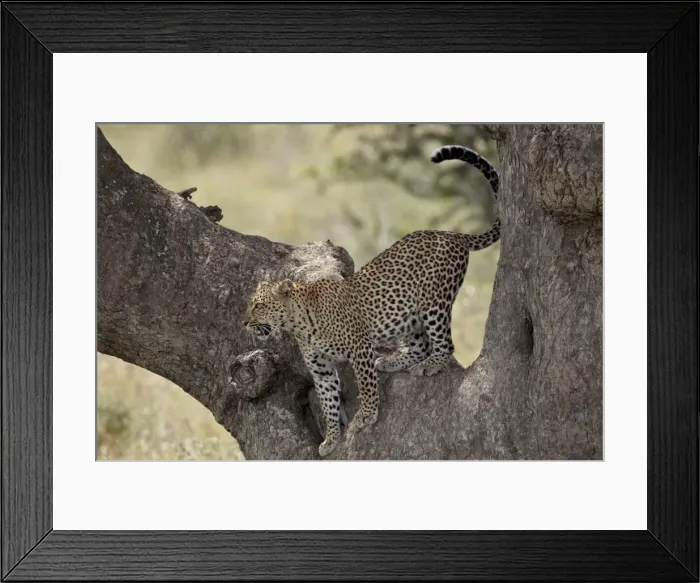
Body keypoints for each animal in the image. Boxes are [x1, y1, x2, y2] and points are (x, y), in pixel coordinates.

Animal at [243, 145, 500, 457]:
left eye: (258, 305)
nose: (244, 322)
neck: (300, 324)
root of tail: (452, 235)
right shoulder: (321, 368)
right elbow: (328, 402)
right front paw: (331, 439)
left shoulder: (359, 347)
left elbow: (365, 385)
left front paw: (365, 416)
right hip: (407, 315)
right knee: (420, 345)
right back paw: (393, 361)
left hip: (433, 302)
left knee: (443, 344)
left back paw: (430, 364)